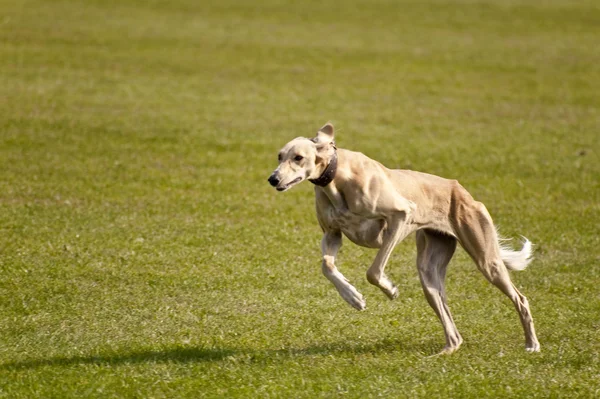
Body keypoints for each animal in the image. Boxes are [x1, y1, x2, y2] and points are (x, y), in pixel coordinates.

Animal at [268, 123, 540, 354]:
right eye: (279, 156)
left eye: (298, 157)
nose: (273, 179)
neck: (336, 177)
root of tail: (463, 192)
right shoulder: (332, 234)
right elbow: (326, 265)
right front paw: (353, 298)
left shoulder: (401, 215)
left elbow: (373, 271)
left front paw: (389, 290)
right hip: (430, 272)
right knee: (452, 328)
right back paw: (445, 351)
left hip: (487, 260)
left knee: (521, 299)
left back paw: (532, 344)